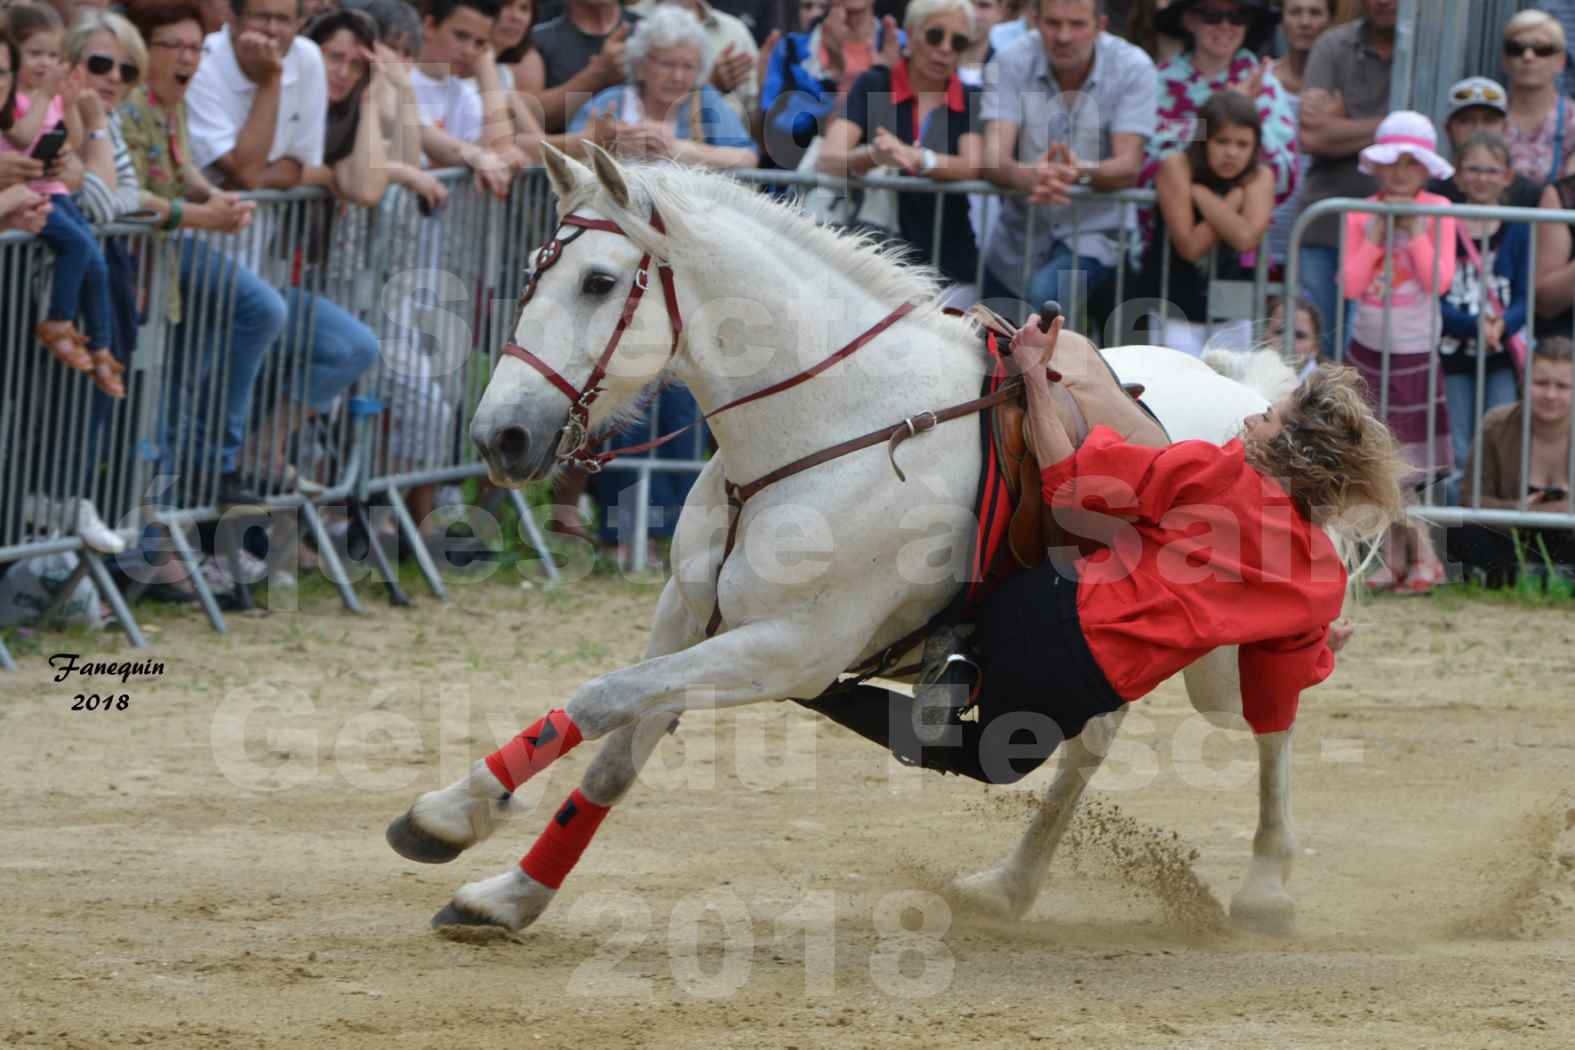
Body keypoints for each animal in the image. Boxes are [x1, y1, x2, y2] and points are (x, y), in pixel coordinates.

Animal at [390, 145, 1304, 938]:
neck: (832, 421)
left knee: (1271, 725)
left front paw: (450, 814)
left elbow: (598, 696)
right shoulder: (690, 620)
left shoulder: (790, 651)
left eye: (599, 281)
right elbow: (613, 749)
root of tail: (1244, 395)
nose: (499, 436)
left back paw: (1265, 886)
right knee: (1090, 749)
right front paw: (509, 891)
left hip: (1219, 666)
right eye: (532, 275)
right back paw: (1008, 886)